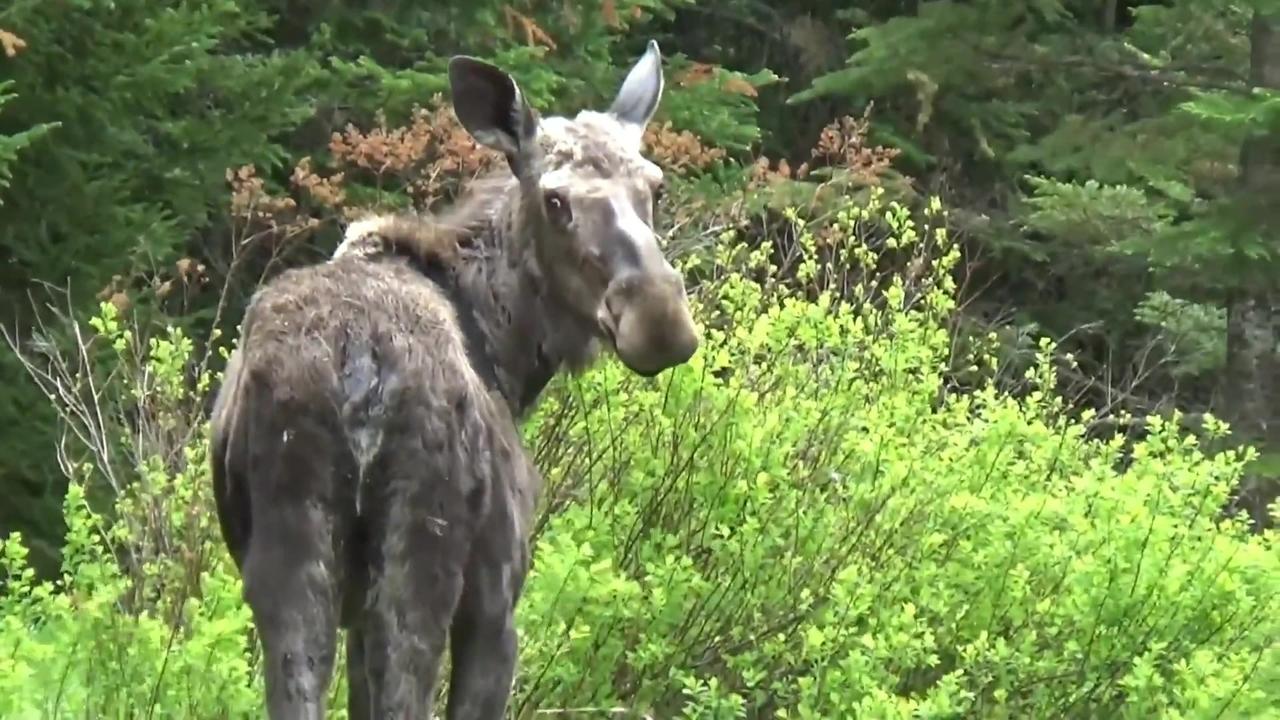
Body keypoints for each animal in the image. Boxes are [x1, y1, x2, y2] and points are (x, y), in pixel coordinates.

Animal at [207, 40, 701, 717]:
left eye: (655, 185)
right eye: (555, 200)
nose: (659, 317)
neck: (510, 355)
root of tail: (357, 368)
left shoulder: (353, 615)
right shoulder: (496, 600)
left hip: (293, 554)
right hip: (421, 558)